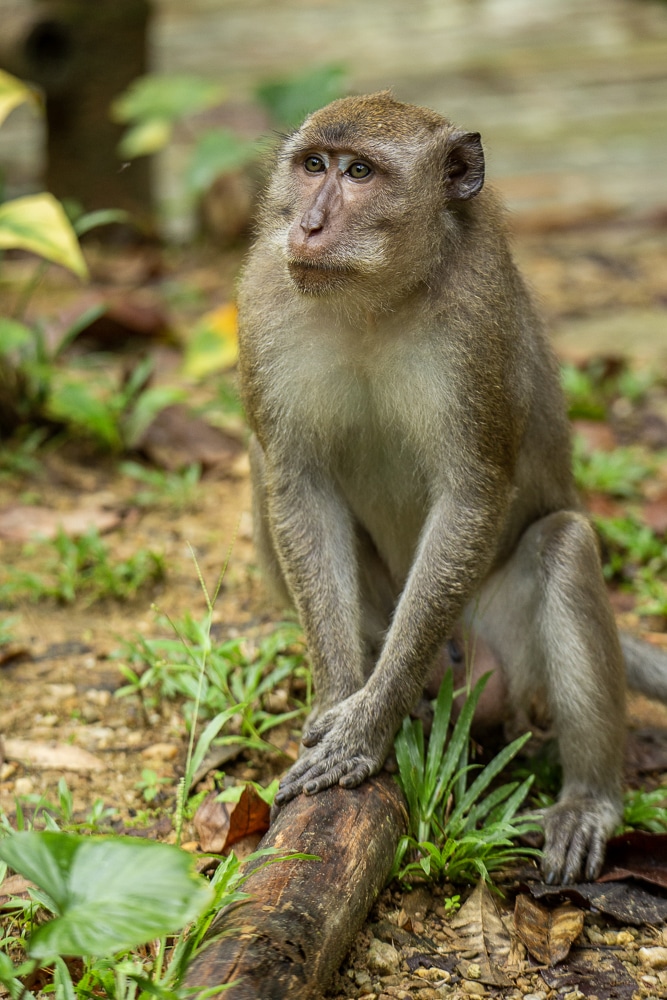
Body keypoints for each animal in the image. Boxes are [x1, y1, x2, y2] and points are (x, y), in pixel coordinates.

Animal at [237, 91, 667, 885]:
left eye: (360, 172)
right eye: (312, 165)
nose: (307, 226)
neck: (376, 298)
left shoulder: (475, 328)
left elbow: (472, 496)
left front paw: (363, 726)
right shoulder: (263, 296)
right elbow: (297, 483)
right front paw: (340, 695)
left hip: (508, 659)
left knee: (564, 544)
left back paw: (588, 799)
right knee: (259, 465)